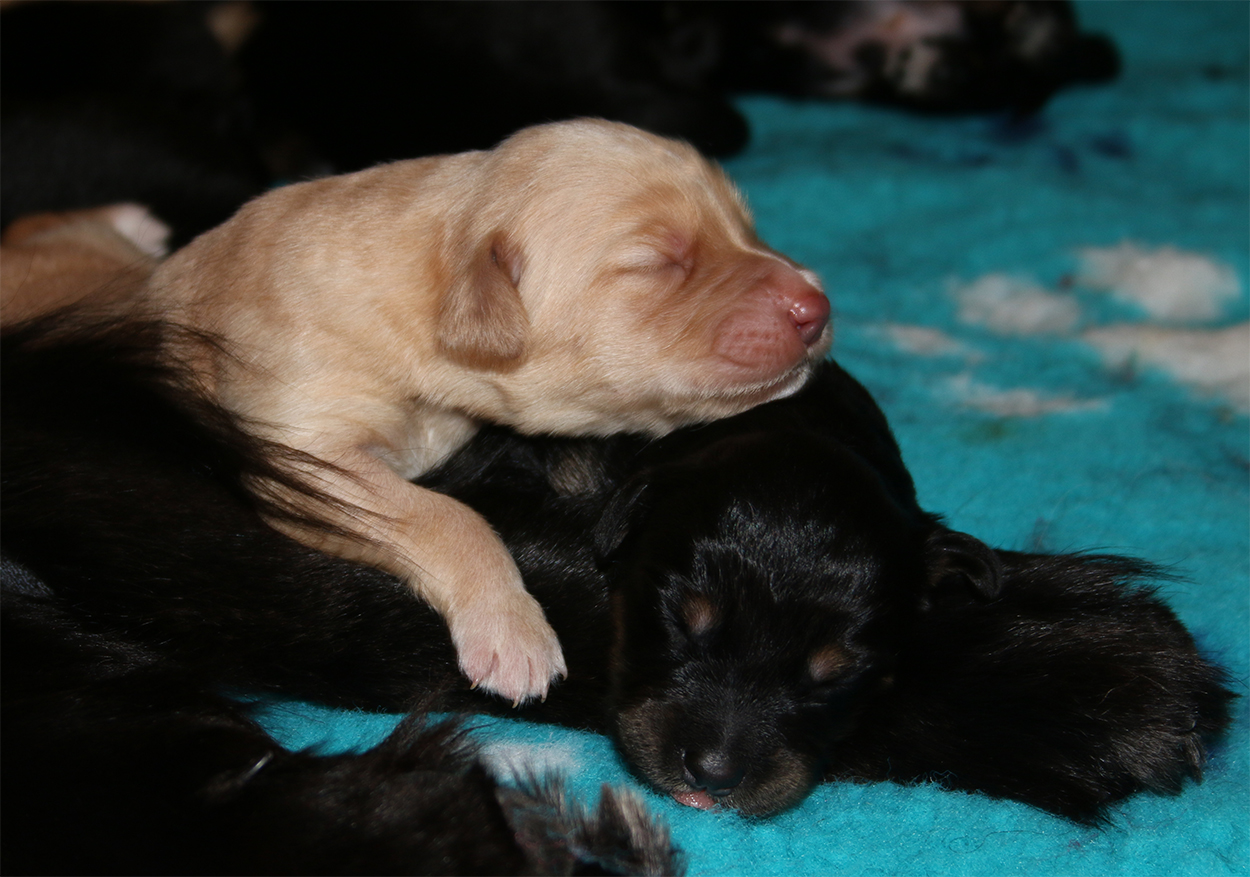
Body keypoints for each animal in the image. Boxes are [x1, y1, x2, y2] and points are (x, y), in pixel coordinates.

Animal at [135, 118, 831, 706]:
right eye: (658, 262)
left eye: (746, 229)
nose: (817, 306)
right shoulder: (299, 446)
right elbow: (446, 515)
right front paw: (513, 630)